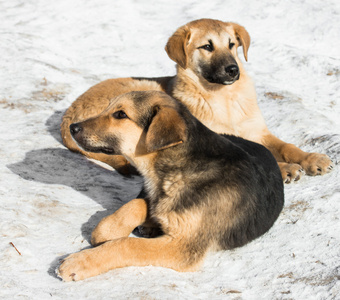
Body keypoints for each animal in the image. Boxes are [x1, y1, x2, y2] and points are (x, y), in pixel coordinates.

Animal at [56, 91, 284, 282]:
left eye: (120, 114)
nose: (73, 128)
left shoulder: (183, 247)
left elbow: (128, 244)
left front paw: (80, 262)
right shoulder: (154, 194)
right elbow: (136, 204)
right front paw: (108, 230)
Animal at [59, 19, 334, 183]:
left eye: (232, 44)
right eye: (207, 47)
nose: (233, 70)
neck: (224, 99)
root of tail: (69, 115)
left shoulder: (258, 132)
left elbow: (288, 146)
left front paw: (312, 159)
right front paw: (285, 168)